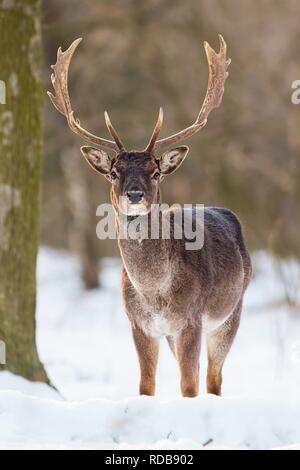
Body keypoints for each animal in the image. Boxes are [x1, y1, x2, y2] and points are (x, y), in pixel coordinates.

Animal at [48, 35, 252, 398]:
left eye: (155, 172)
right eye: (114, 172)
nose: (134, 194)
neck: (155, 292)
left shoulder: (191, 319)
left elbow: (189, 385)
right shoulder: (140, 324)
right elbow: (146, 386)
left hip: (231, 312)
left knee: (213, 378)